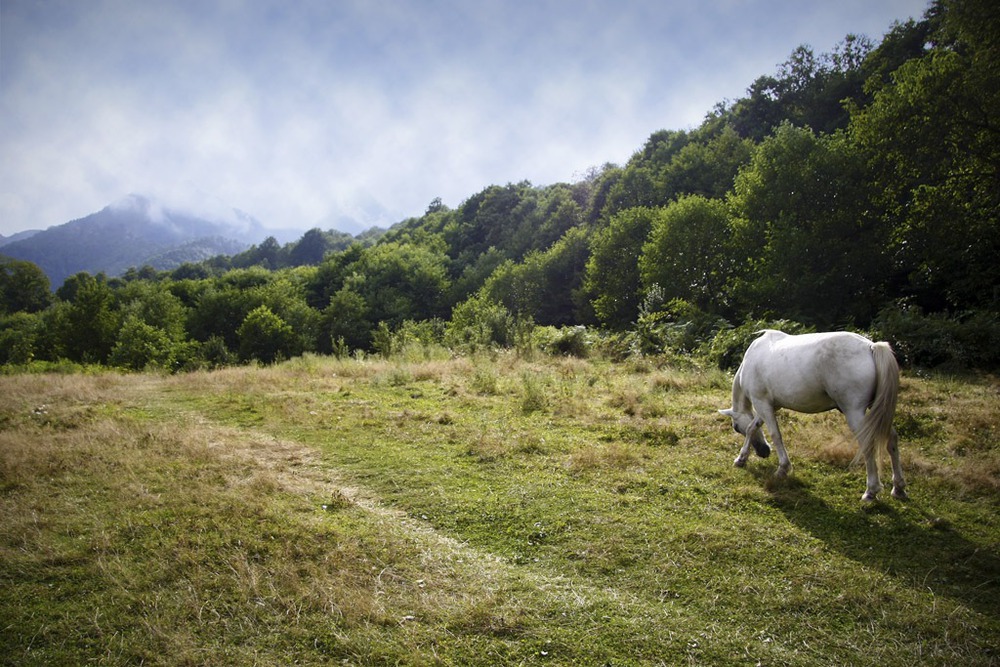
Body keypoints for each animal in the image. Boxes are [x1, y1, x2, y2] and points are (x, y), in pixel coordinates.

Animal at [720, 328, 908, 500]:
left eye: (736, 428)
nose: (764, 452)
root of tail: (871, 346)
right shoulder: (769, 406)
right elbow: (753, 427)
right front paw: (741, 459)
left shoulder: (762, 403)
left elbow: (774, 434)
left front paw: (782, 469)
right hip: (876, 411)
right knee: (892, 439)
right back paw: (898, 488)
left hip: (854, 412)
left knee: (868, 443)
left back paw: (871, 491)